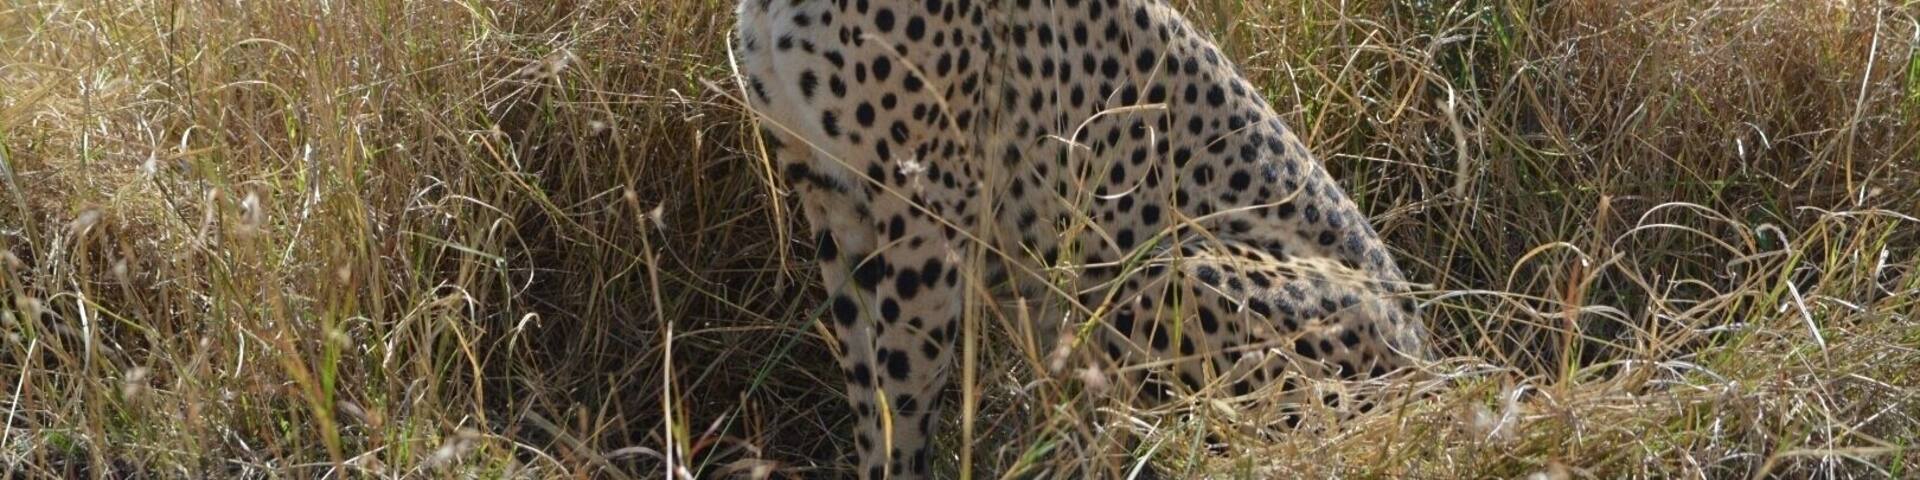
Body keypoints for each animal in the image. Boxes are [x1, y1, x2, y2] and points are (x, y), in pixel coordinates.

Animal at [732, 0, 1429, 477]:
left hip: (1163, 269)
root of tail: (1430, 363)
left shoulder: (924, 207)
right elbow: (866, 392)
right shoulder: (832, 199)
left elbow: (901, 398)